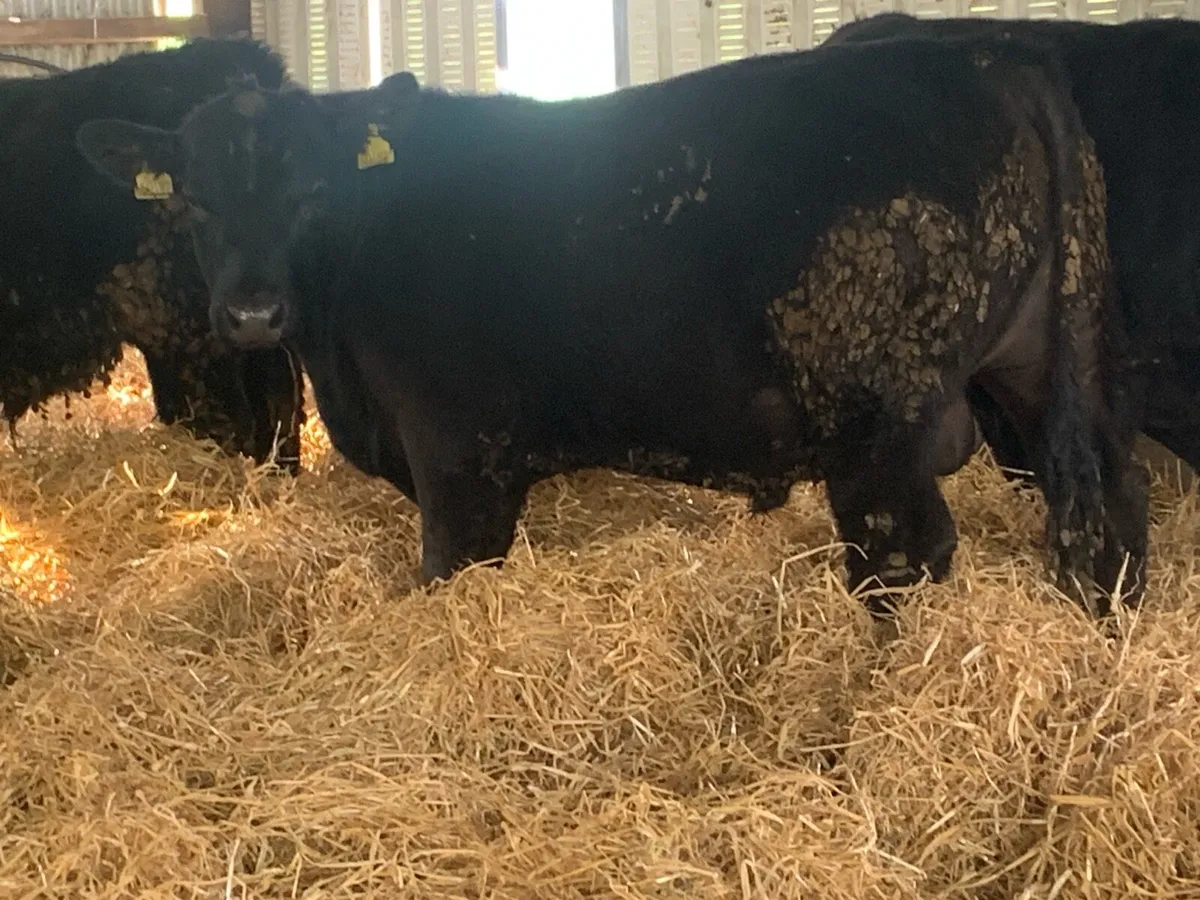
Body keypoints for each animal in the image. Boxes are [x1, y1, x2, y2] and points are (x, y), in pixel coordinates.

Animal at [75, 37, 1150, 617]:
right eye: (194, 200)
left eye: (309, 191)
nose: (250, 311)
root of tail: (990, 56)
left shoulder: (459, 463)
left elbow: (448, 573)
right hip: (1048, 370)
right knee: (1110, 513)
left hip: (877, 428)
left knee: (903, 555)